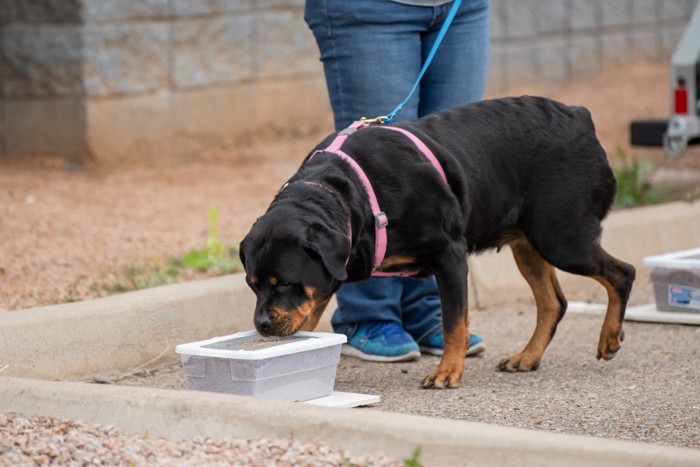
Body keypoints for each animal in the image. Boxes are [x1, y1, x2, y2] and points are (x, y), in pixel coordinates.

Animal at [239, 97, 636, 390]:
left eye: (284, 283)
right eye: (253, 285)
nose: (261, 323)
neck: (350, 197)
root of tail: (579, 116)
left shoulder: (450, 257)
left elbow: (453, 323)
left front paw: (447, 372)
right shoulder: (330, 274)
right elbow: (309, 317)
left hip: (561, 239)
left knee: (623, 272)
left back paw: (609, 337)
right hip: (529, 244)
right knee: (554, 302)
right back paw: (527, 357)